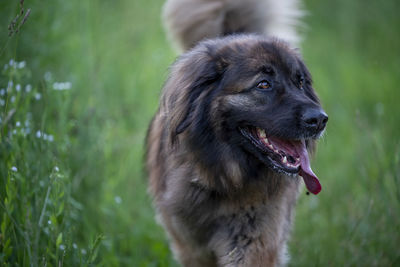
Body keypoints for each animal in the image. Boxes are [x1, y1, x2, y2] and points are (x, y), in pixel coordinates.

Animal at [145, 0, 326, 267]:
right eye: (264, 84)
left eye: (300, 82)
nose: (320, 119)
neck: (224, 177)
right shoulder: (191, 245)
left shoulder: (255, 238)